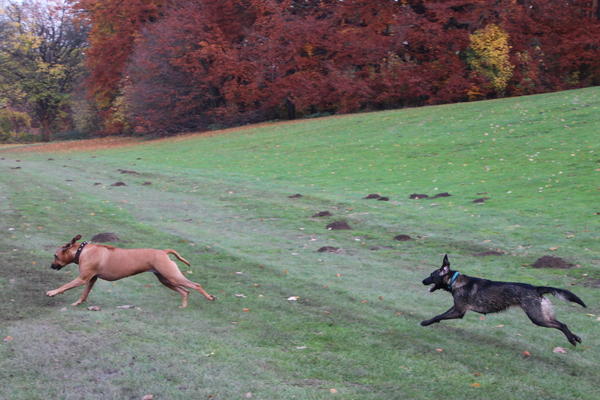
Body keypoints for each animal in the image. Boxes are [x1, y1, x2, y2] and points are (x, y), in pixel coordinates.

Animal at [47, 236, 216, 308]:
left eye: (55, 255)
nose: (51, 266)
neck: (82, 251)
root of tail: (163, 252)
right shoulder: (92, 279)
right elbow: (84, 293)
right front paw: (78, 303)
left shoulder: (82, 278)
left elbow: (65, 286)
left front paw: (52, 292)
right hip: (165, 279)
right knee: (185, 291)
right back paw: (183, 306)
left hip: (172, 276)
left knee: (196, 285)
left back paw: (209, 297)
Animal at [422, 255, 584, 346]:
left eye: (431, 275)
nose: (422, 281)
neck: (455, 281)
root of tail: (536, 288)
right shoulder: (457, 308)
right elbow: (440, 315)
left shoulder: (459, 311)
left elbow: (439, 315)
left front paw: (425, 322)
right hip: (542, 315)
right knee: (561, 323)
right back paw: (575, 337)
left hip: (537, 318)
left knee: (561, 325)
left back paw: (571, 339)